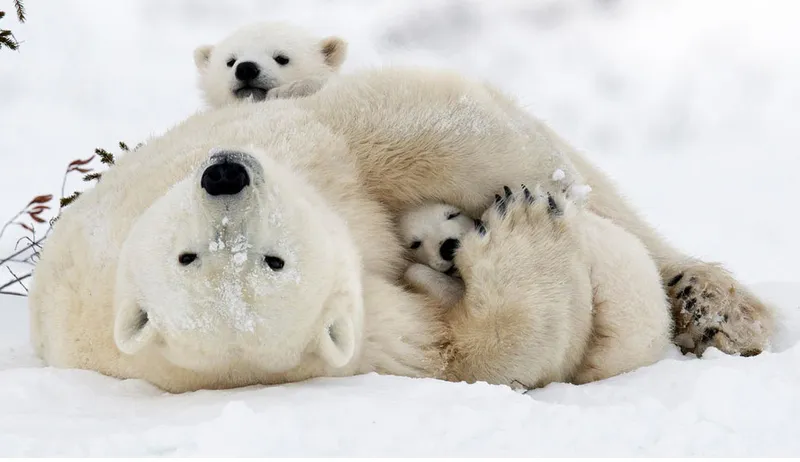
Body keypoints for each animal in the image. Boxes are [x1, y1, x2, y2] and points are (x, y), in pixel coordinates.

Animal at [28, 66, 774, 394]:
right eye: (276, 261)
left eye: (183, 250)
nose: (226, 175)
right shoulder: (366, 342)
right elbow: (472, 353)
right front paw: (520, 223)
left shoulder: (294, 143)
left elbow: (418, 131)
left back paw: (715, 307)